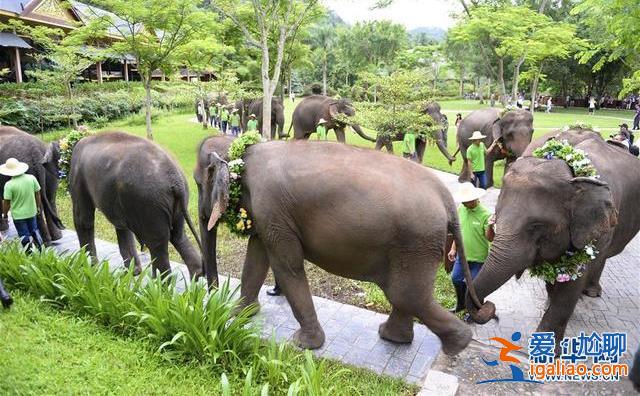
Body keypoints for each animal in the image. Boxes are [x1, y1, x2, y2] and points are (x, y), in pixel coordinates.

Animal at [69, 131, 202, 276]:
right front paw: (133, 272)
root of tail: (176, 179)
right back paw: (196, 274)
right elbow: (122, 227)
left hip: (150, 204)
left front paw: (88, 268)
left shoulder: (78, 177)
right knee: (178, 237)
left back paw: (160, 281)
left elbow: (83, 220)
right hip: (174, 204)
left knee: (157, 246)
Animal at [198, 139, 482, 356]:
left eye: (200, 185)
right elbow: (256, 257)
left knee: (407, 296)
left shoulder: (271, 207)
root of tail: (446, 198)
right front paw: (238, 315)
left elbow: (287, 266)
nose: (210, 299)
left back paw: (457, 345)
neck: (243, 152)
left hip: (416, 243)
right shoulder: (267, 215)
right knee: (405, 295)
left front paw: (303, 344)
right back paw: (393, 337)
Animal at [464, 128, 640, 348]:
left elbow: (571, 286)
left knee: (601, 258)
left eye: (536, 226)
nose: (489, 307)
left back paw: (591, 292)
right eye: (496, 212)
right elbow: (553, 275)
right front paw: (549, 302)